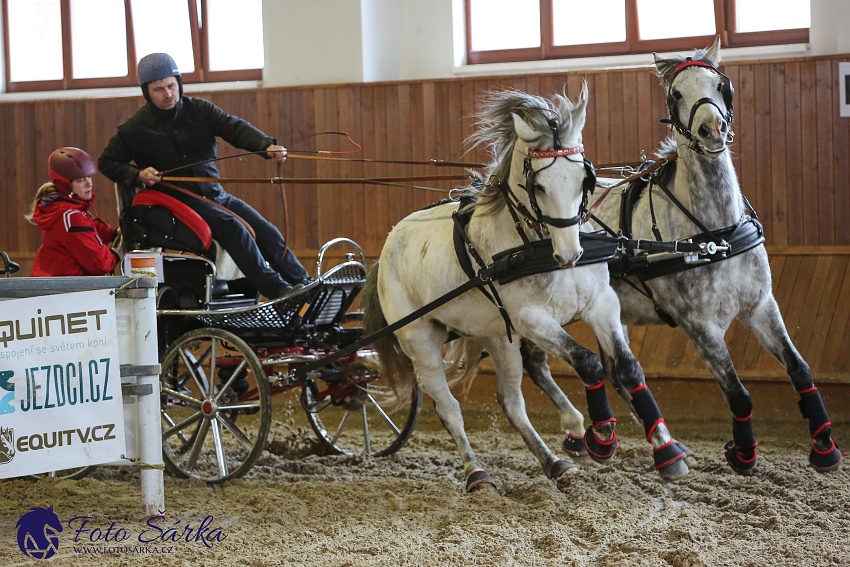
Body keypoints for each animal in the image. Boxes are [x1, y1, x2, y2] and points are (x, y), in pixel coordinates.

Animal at [360, 85, 688, 492]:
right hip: (420, 340)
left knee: (511, 402)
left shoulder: (602, 304)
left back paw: (554, 463)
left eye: (585, 179)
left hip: (498, 335)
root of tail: (390, 244)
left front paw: (667, 450)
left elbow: (627, 367)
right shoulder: (533, 320)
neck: (539, 250)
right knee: (449, 408)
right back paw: (477, 474)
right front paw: (602, 437)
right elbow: (588, 362)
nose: (570, 254)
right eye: (538, 185)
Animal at [520, 37, 840, 474]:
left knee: (615, 369)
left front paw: (824, 445)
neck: (714, 234)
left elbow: (800, 369)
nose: (711, 128)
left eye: (722, 85)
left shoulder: (760, 304)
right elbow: (738, 392)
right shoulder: (699, 325)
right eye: (676, 94)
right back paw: (585, 433)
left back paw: (637, 438)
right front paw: (742, 452)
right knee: (540, 364)